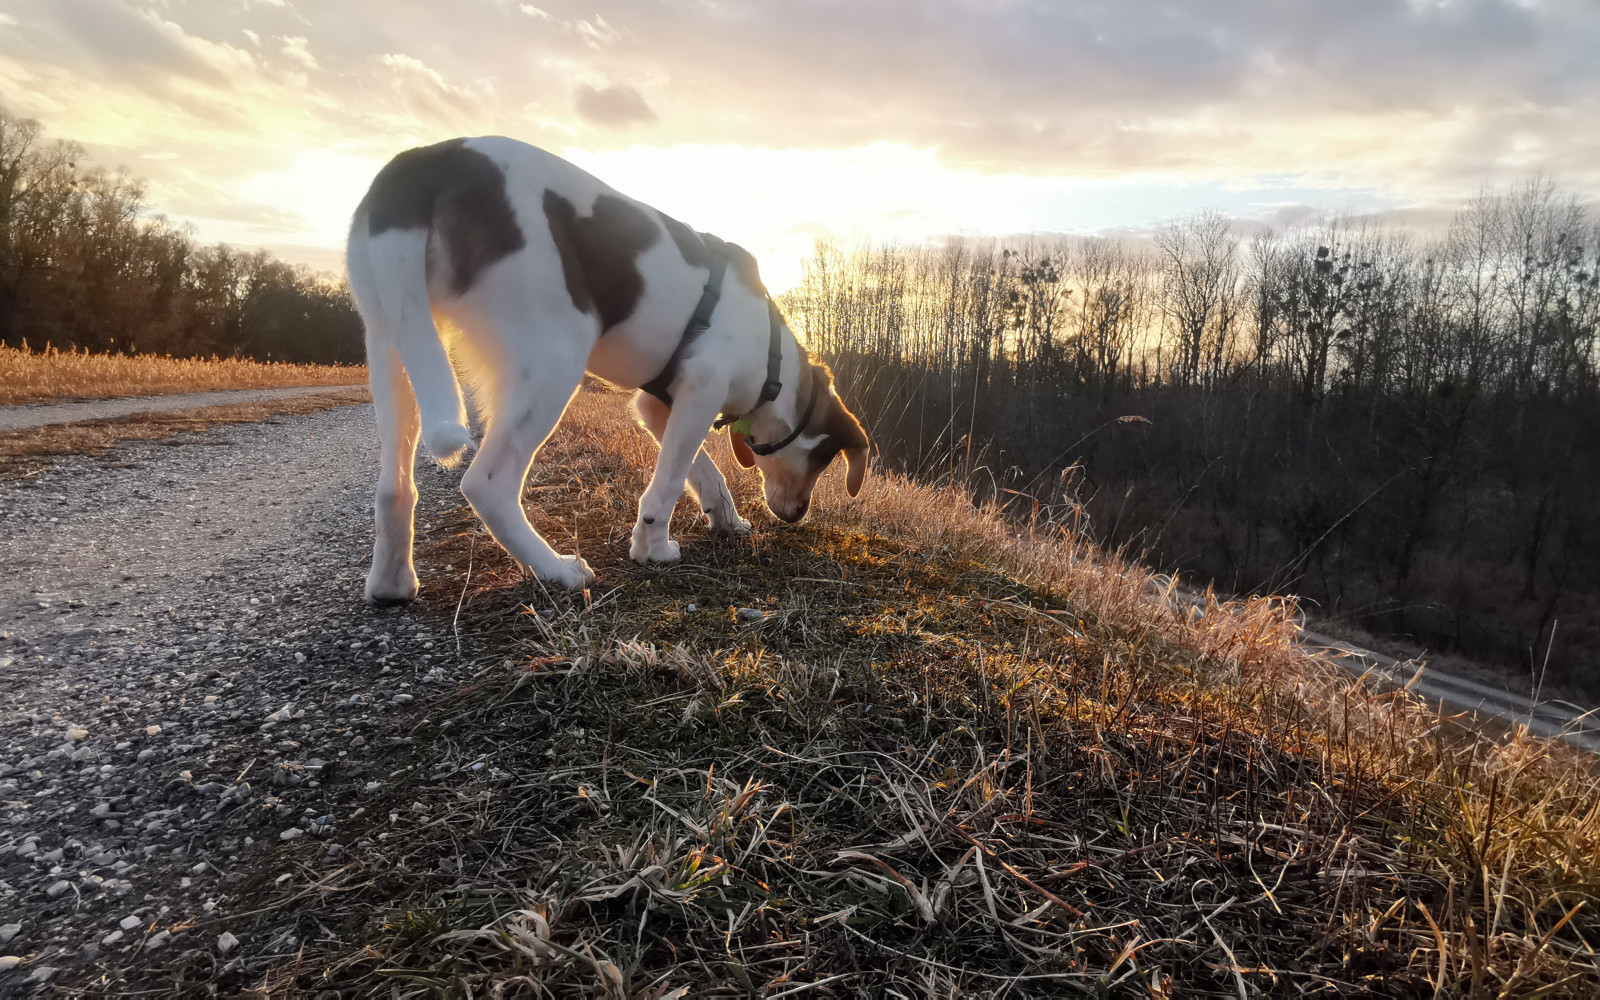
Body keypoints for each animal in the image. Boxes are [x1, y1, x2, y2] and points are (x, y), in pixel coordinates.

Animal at [345, 136, 870, 604]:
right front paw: (652, 548)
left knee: (394, 488)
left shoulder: (661, 405)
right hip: (557, 354)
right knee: (486, 484)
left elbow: (703, 471)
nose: (798, 514)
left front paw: (725, 519)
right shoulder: (701, 390)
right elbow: (669, 483)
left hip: (392, 342)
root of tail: (423, 163)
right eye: (824, 461)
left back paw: (391, 584)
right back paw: (556, 570)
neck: (773, 360)